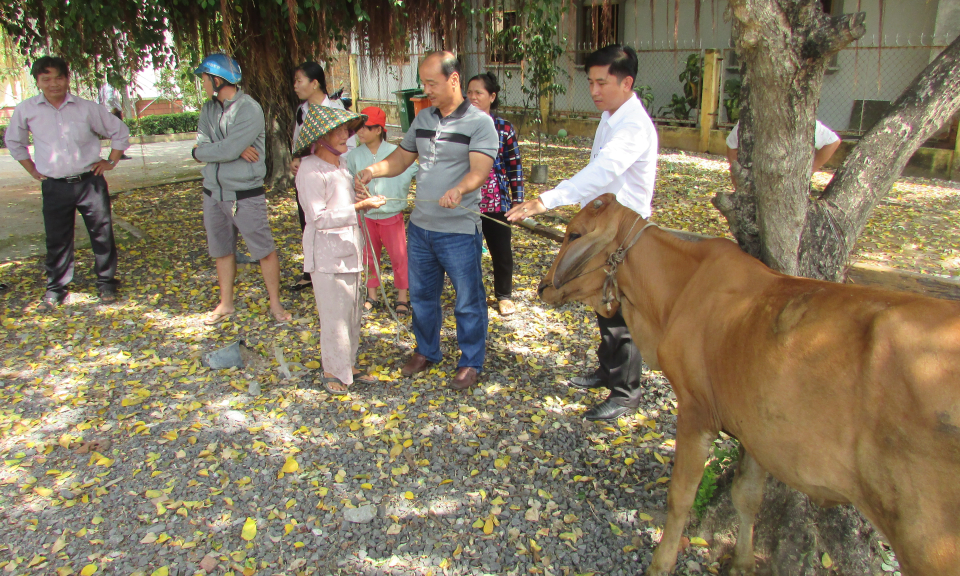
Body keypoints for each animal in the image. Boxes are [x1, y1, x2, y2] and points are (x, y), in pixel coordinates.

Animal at [536, 195, 960, 576]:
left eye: (575, 233)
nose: (543, 287)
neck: (677, 291)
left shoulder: (697, 410)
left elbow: (681, 496)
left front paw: (660, 564)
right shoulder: (755, 427)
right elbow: (747, 496)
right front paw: (742, 561)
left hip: (928, 541)